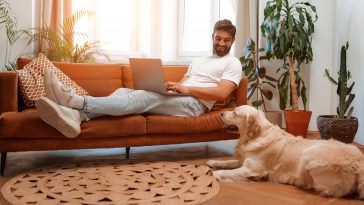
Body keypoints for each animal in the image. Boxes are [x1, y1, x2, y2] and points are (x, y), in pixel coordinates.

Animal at [208, 105, 364, 199]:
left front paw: (212, 174)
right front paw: (212, 162)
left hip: (309, 154)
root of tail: (359, 164)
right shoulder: (244, 161)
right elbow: (228, 162)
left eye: (235, 113)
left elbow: (224, 172)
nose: (221, 113)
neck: (255, 136)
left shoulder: (251, 168)